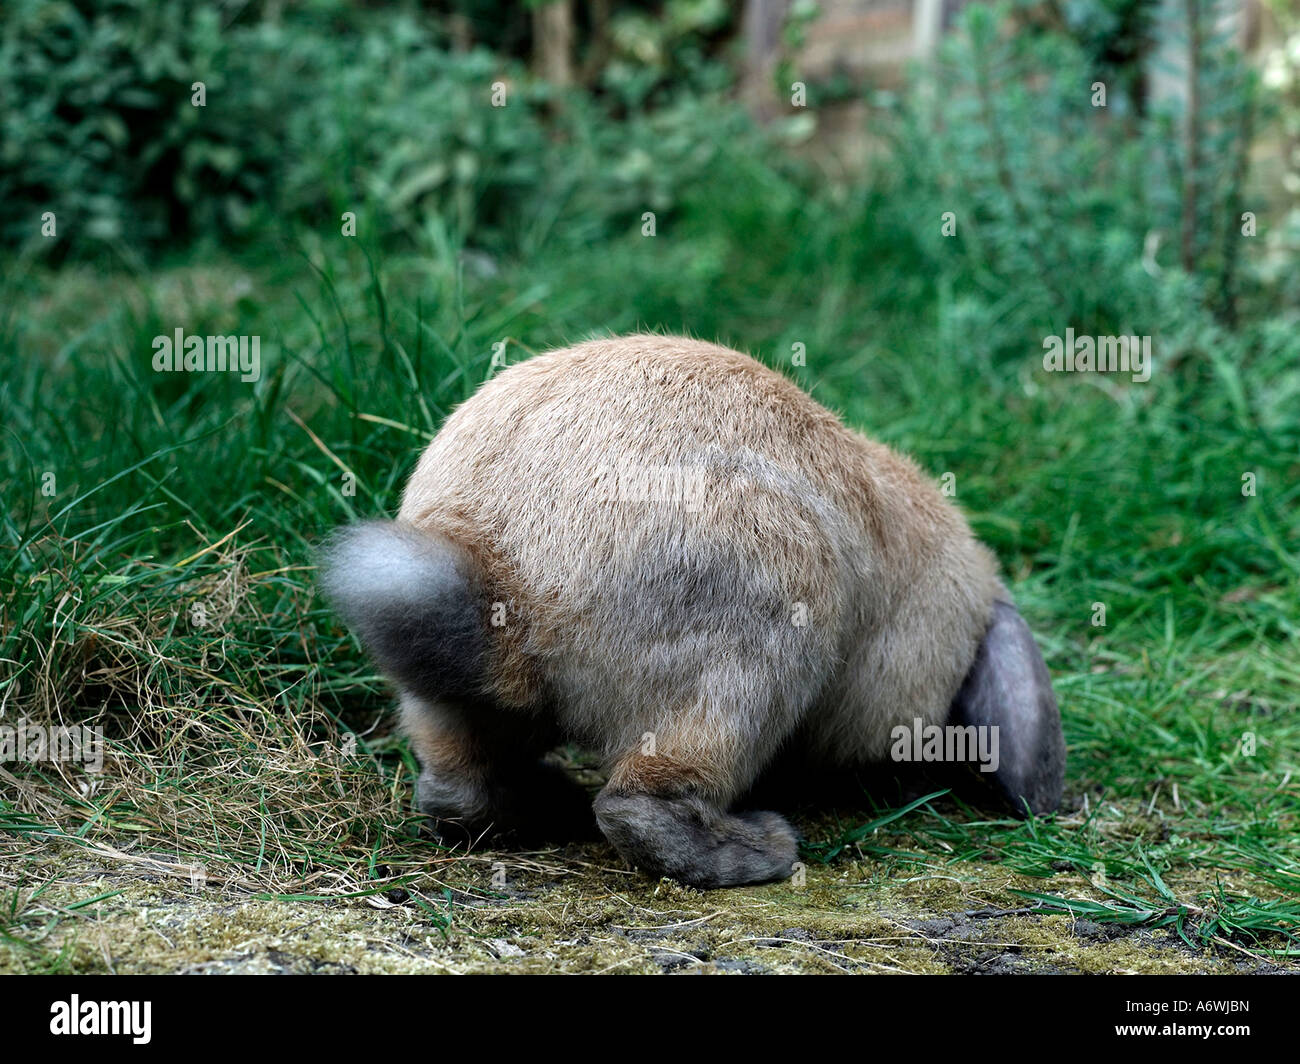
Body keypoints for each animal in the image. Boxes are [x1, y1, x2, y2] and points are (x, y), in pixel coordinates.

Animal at [319, 331, 1060, 889]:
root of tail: (502, 573)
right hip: (758, 641)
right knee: (640, 805)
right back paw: (765, 849)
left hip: (443, 700)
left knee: (457, 789)